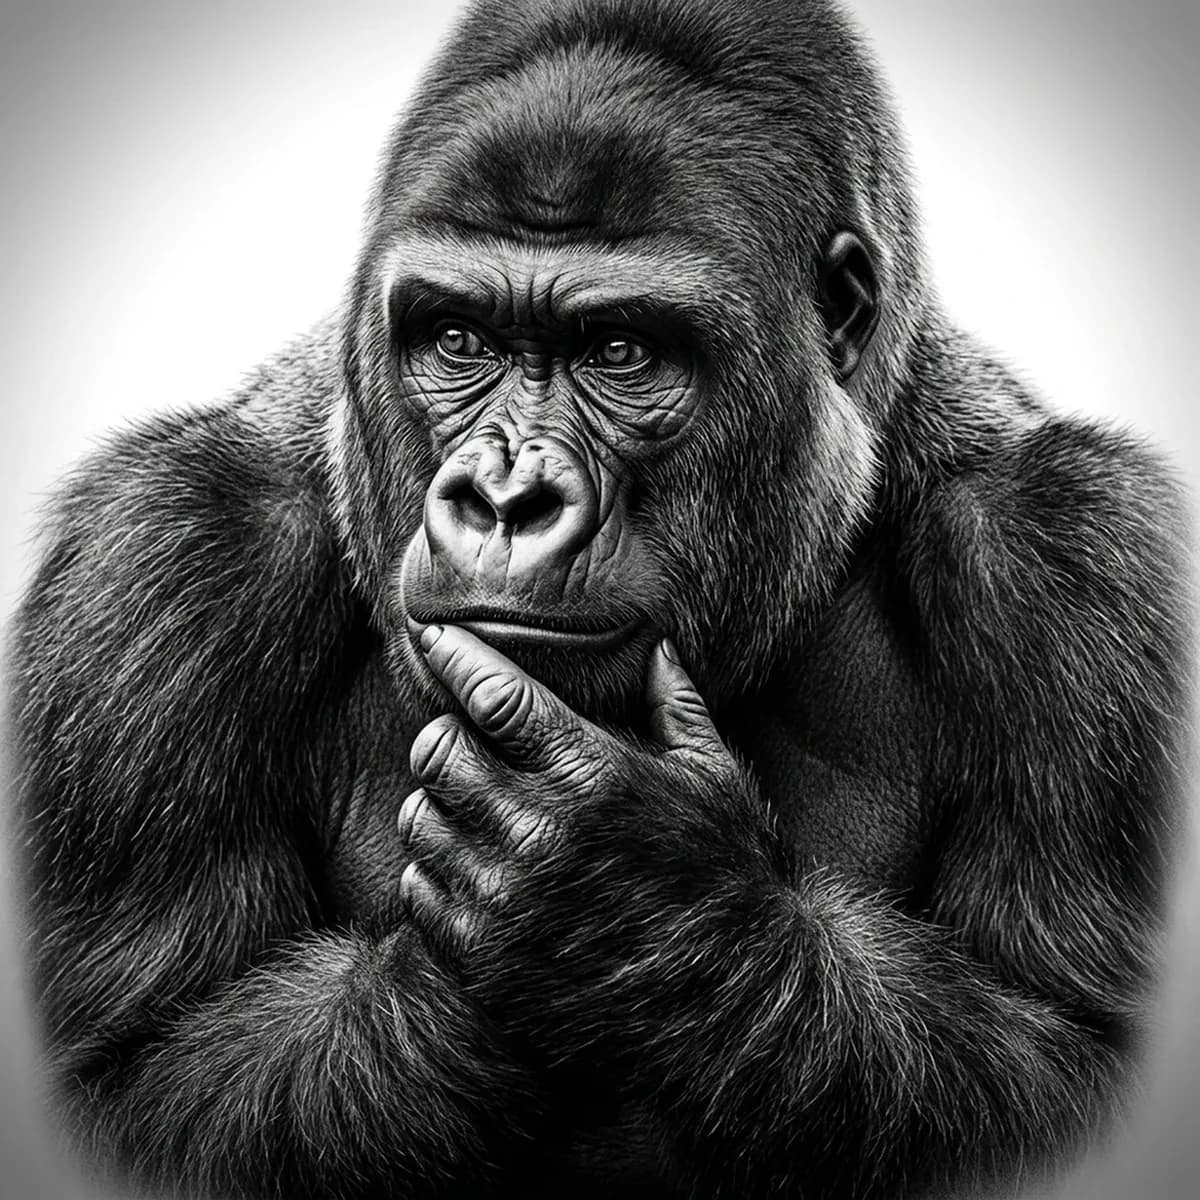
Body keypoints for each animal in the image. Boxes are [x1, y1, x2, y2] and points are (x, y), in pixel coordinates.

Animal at [10, 0, 1189, 1197]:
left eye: (621, 350)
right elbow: (153, 1058)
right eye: (457, 339)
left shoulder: (1076, 548)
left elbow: (1061, 1038)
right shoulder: (165, 549)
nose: (505, 498)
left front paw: (628, 904)